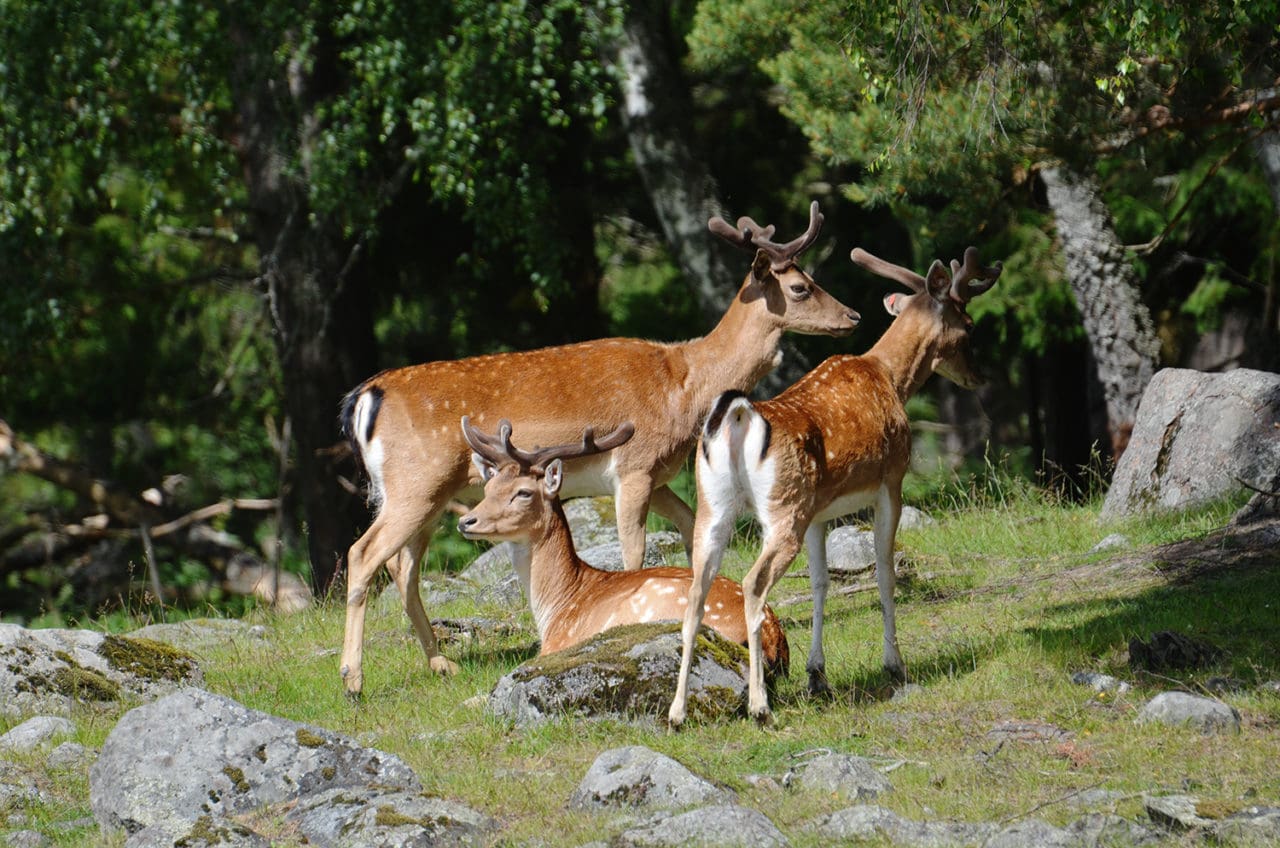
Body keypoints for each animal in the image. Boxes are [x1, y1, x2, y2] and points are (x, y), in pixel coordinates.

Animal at [450, 417, 788, 676]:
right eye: (489, 487)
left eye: (523, 492)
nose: (466, 521)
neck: (556, 608)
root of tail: (772, 636)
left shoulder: (558, 644)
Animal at [665, 245, 1003, 732]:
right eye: (970, 324)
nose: (979, 376)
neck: (892, 379)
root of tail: (738, 417)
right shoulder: (891, 481)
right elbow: (884, 572)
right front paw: (894, 664)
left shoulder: (819, 514)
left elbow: (822, 582)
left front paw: (817, 675)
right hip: (784, 508)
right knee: (752, 584)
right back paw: (759, 705)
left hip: (715, 506)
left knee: (696, 592)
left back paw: (677, 713)